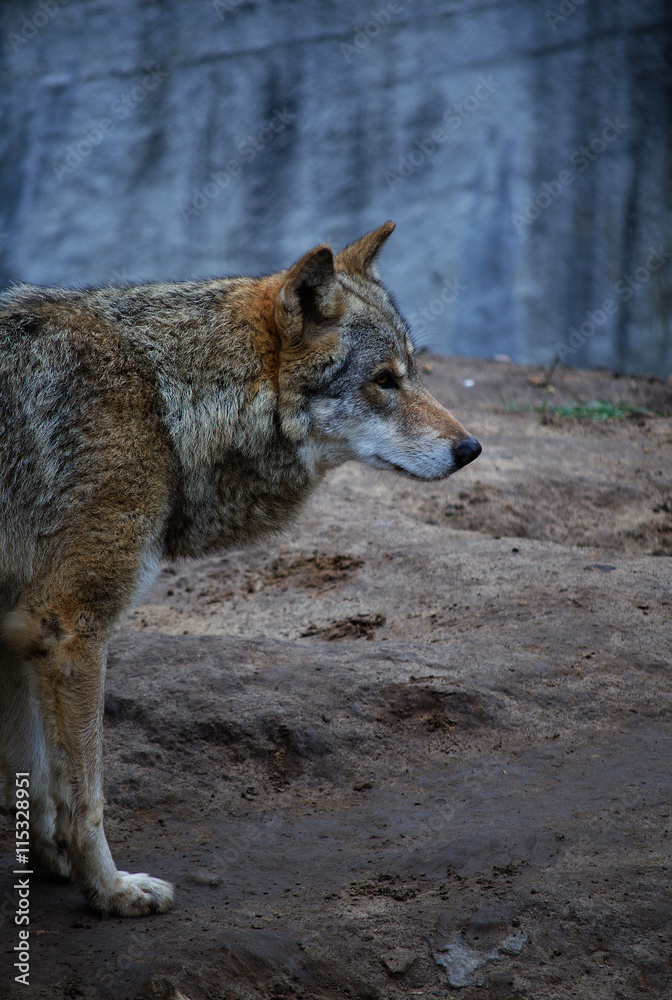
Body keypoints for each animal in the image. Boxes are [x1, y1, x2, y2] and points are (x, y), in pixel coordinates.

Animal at [0, 222, 481, 916]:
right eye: (384, 380)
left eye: (412, 372)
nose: (472, 449)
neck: (163, 404)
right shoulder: (69, 628)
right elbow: (85, 794)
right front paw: (110, 891)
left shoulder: (18, 627)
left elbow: (33, 780)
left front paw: (49, 865)